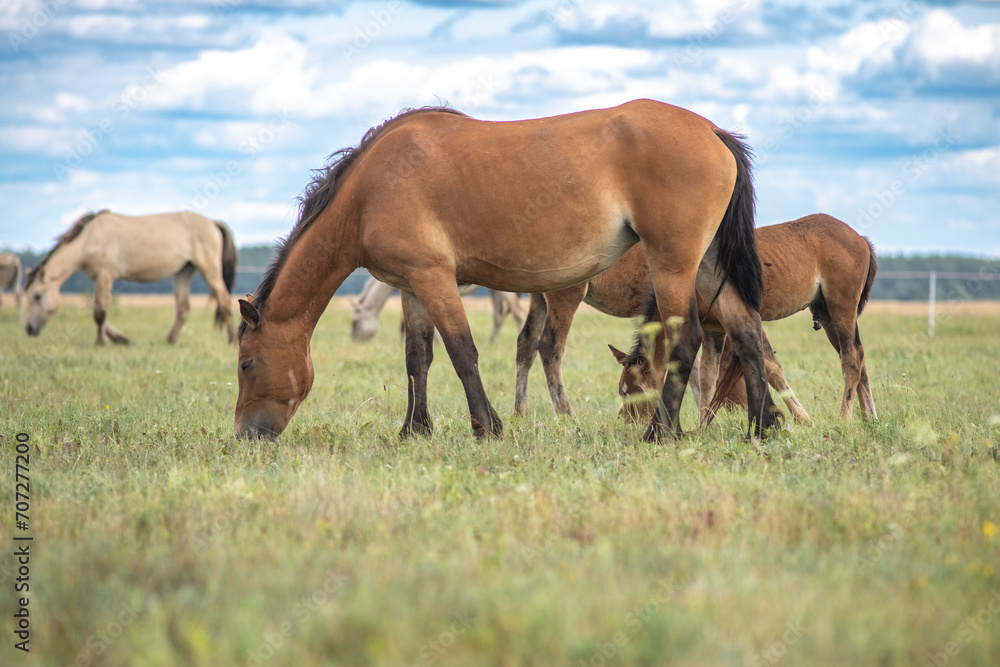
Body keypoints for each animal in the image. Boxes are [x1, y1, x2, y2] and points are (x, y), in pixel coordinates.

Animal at [22, 210, 237, 348]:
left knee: (225, 300)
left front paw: (100, 342)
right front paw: (120, 338)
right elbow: (97, 310)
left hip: (209, 269)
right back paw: (170, 340)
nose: (29, 329)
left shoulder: (105, 274)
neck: (90, 238)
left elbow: (99, 312)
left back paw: (232, 339)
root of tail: (213, 223)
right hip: (184, 272)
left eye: (37, 296)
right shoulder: (98, 278)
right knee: (183, 308)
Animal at [608, 214, 876, 426]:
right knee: (859, 356)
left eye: (641, 390)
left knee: (851, 358)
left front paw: (804, 419)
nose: (630, 424)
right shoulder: (714, 331)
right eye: (622, 391)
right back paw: (869, 418)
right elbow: (707, 377)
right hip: (829, 314)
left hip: (842, 308)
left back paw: (845, 418)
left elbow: (771, 368)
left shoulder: (748, 319)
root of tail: (860, 238)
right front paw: (705, 423)